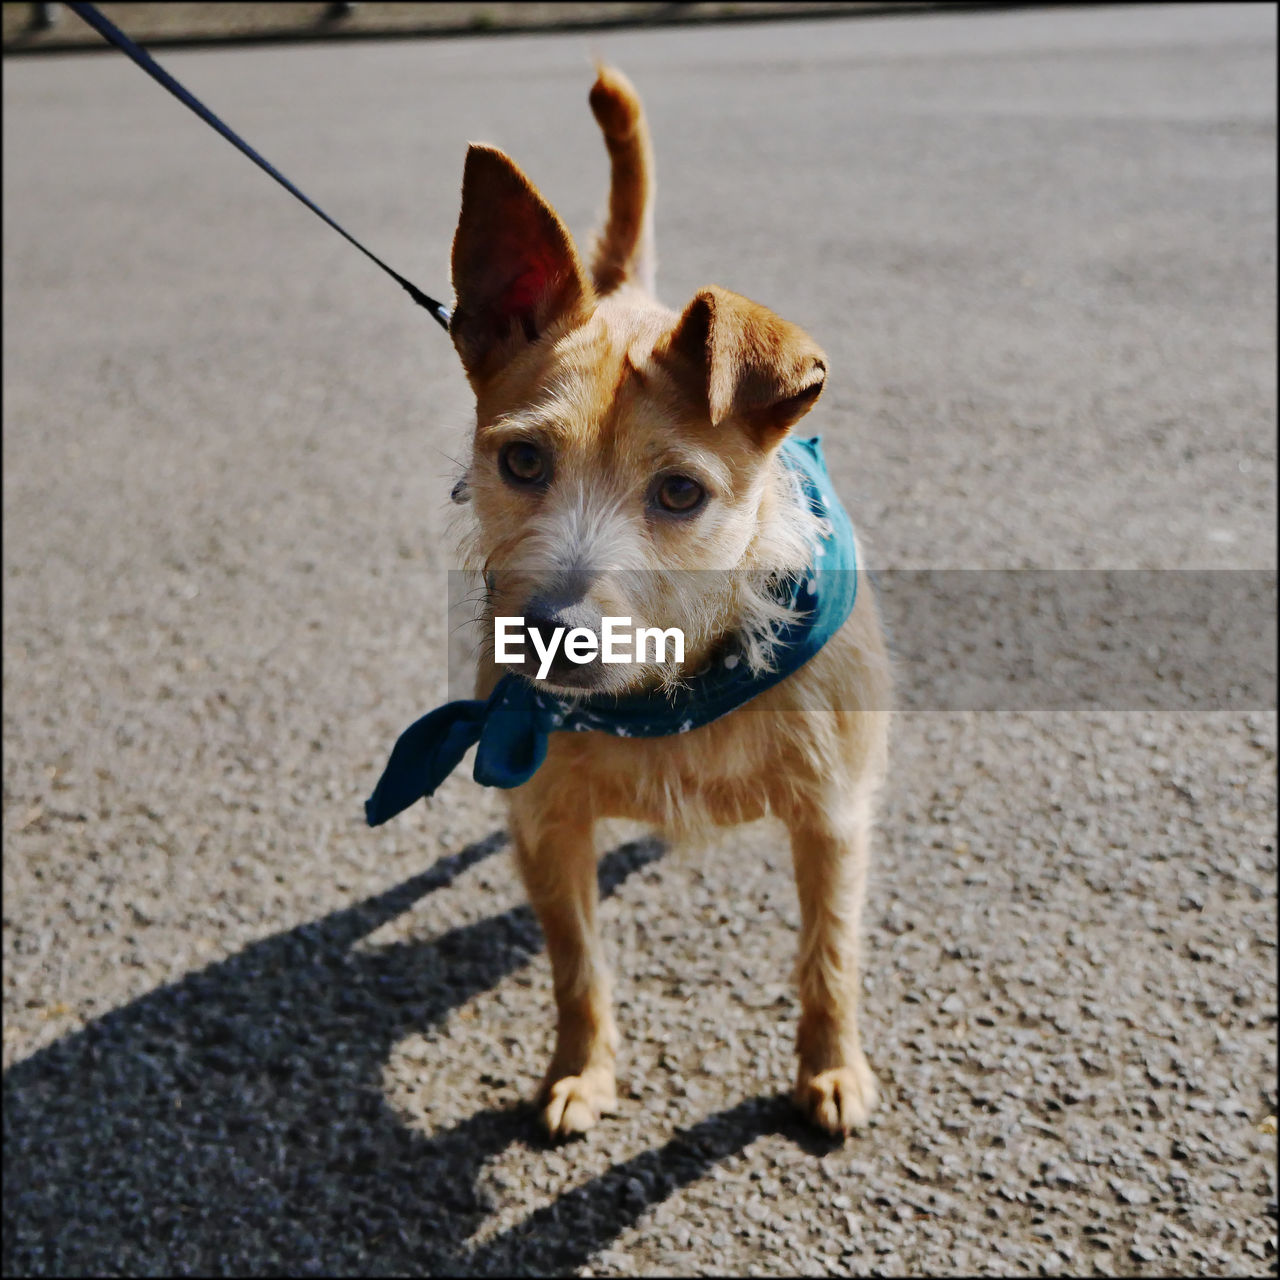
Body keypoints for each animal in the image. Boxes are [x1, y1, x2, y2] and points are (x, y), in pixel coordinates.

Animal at [440, 67, 890, 1141]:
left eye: (681, 493)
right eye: (523, 461)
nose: (548, 636)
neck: (674, 688)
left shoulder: (834, 816)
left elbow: (830, 954)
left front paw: (832, 1066)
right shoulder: (548, 825)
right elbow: (576, 965)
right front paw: (583, 1070)